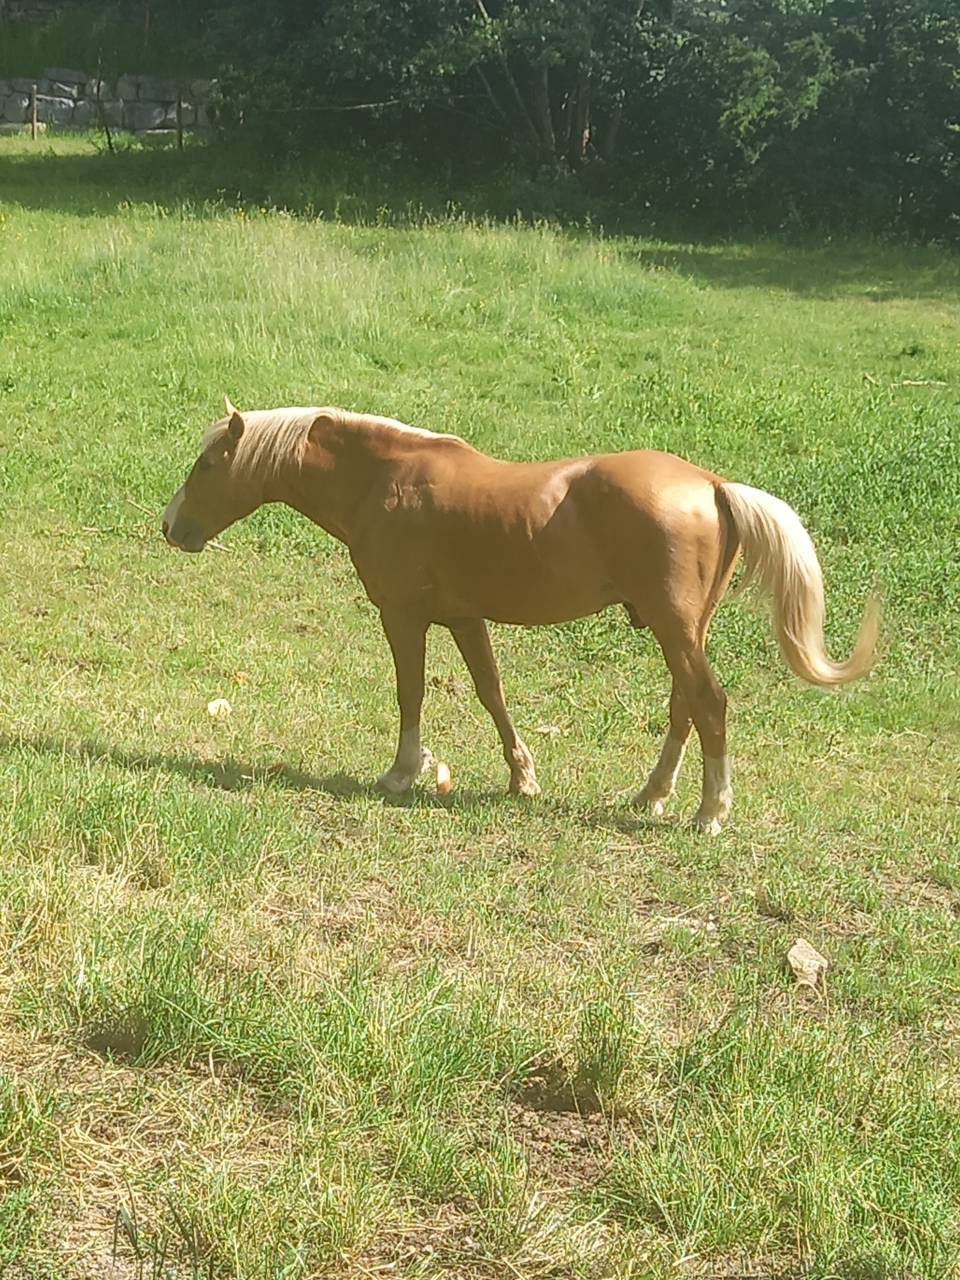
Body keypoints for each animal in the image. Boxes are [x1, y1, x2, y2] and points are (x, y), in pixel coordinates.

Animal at [162, 398, 877, 833]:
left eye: (207, 463)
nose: (170, 527)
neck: (384, 481)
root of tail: (711, 485)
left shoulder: (403, 615)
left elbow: (411, 692)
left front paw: (402, 771)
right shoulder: (462, 618)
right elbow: (491, 692)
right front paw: (522, 777)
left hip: (676, 630)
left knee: (708, 704)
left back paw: (709, 811)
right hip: (682, 632)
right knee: (684, 708)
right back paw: (651, 796)